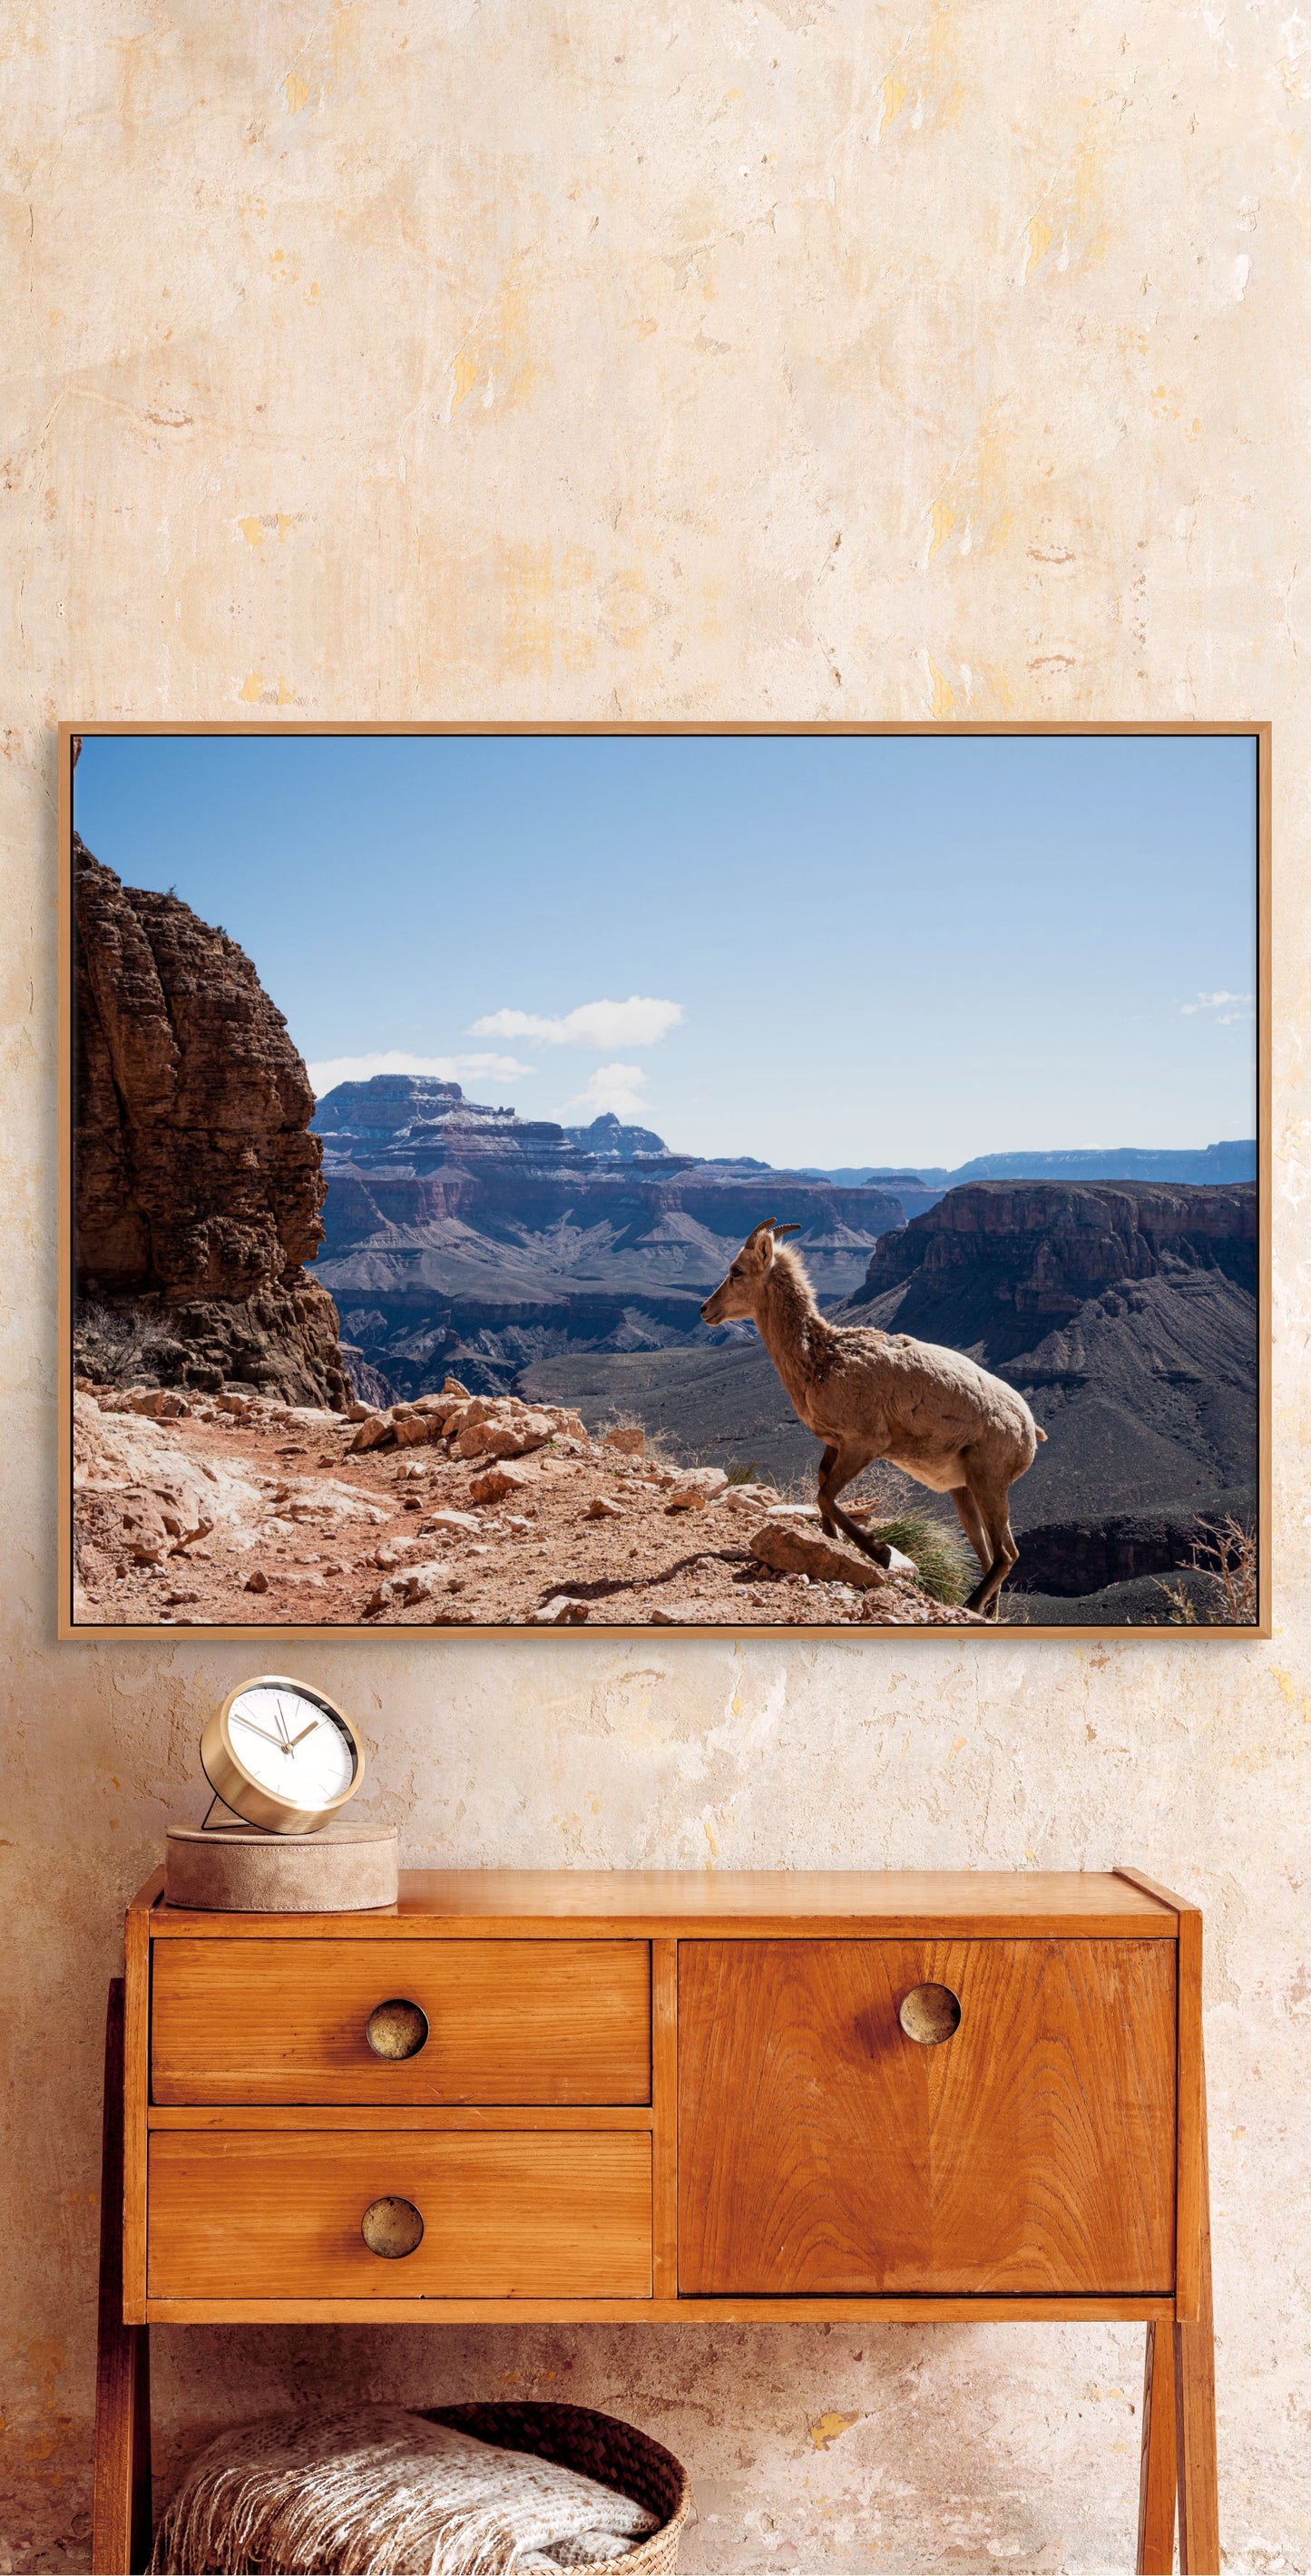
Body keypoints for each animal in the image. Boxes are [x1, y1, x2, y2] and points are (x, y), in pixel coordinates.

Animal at [700, 1221, 1045, 1617]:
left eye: (737, 1271)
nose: (705, 1309)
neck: (821, 1359)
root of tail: (1030, 1431)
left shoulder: (864, 1444)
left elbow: (825, 1495)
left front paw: (880, 1553)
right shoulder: (836, 1444)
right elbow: (822, 1488)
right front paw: (832, 1543)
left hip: (989, 1483)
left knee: (1007, 1554)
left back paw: (970, 1604)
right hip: (965, 1491)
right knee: (990, 1554)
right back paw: (986, 1612)